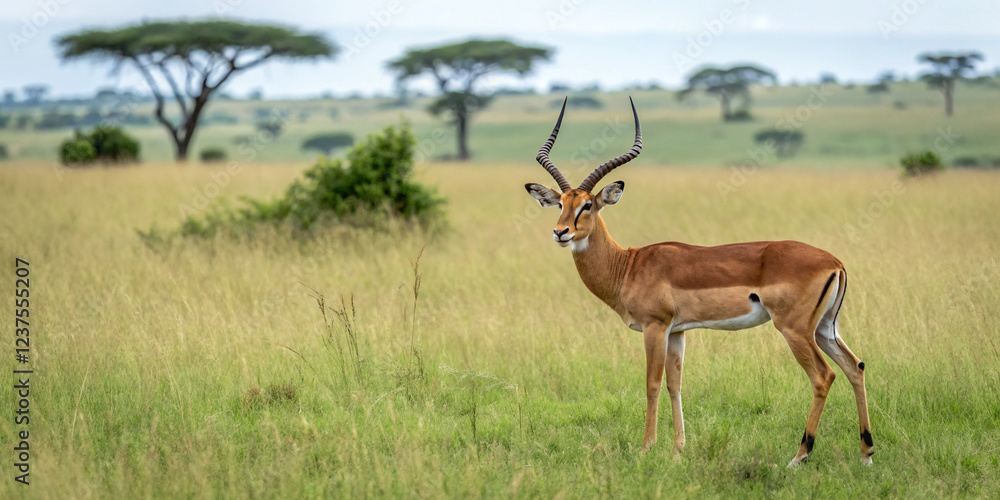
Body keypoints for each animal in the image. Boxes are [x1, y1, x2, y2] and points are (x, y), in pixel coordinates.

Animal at [524, 97, 874, 466]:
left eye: (588, 204)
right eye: (560, 204)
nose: (560, 232)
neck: (629, 265)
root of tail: (835, 262)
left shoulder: (655, 327)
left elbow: (651, 383)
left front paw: (647, 447)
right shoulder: (677, 332)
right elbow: (675, 384)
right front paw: (679, 449)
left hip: (794, 329)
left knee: (823, 376)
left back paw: (799, 456)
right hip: (823, 328)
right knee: (855, 367)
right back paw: (866, 453)